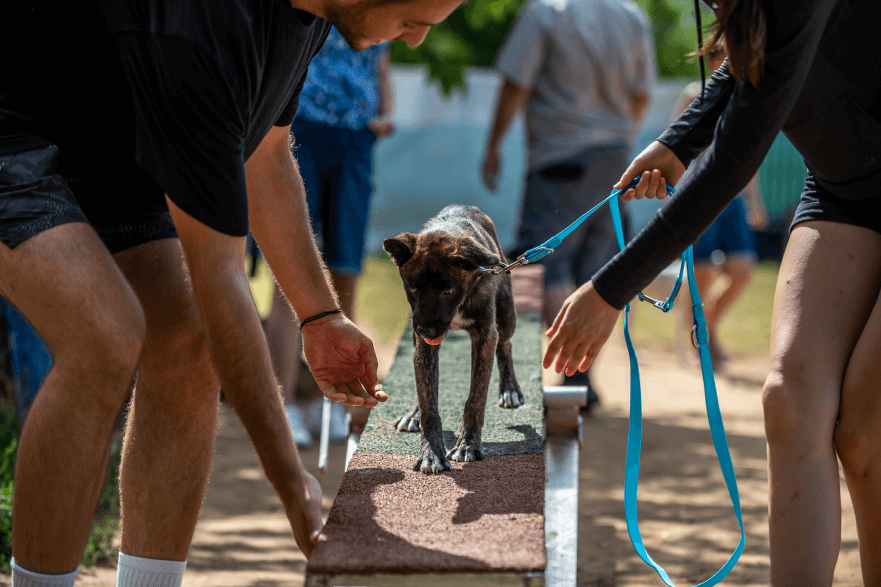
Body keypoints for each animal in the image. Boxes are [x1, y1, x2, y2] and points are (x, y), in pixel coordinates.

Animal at [383, 205, 523, 474]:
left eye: (447, 291)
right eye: (413, 289)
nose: (426, 330)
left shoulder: (485, 335)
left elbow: (475, 398)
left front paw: (468, 445)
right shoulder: (424, 345)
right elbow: (428, 401)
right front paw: (431, 453)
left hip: (506, 313)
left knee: (506, 344)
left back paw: (510, 390)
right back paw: (413, 414)